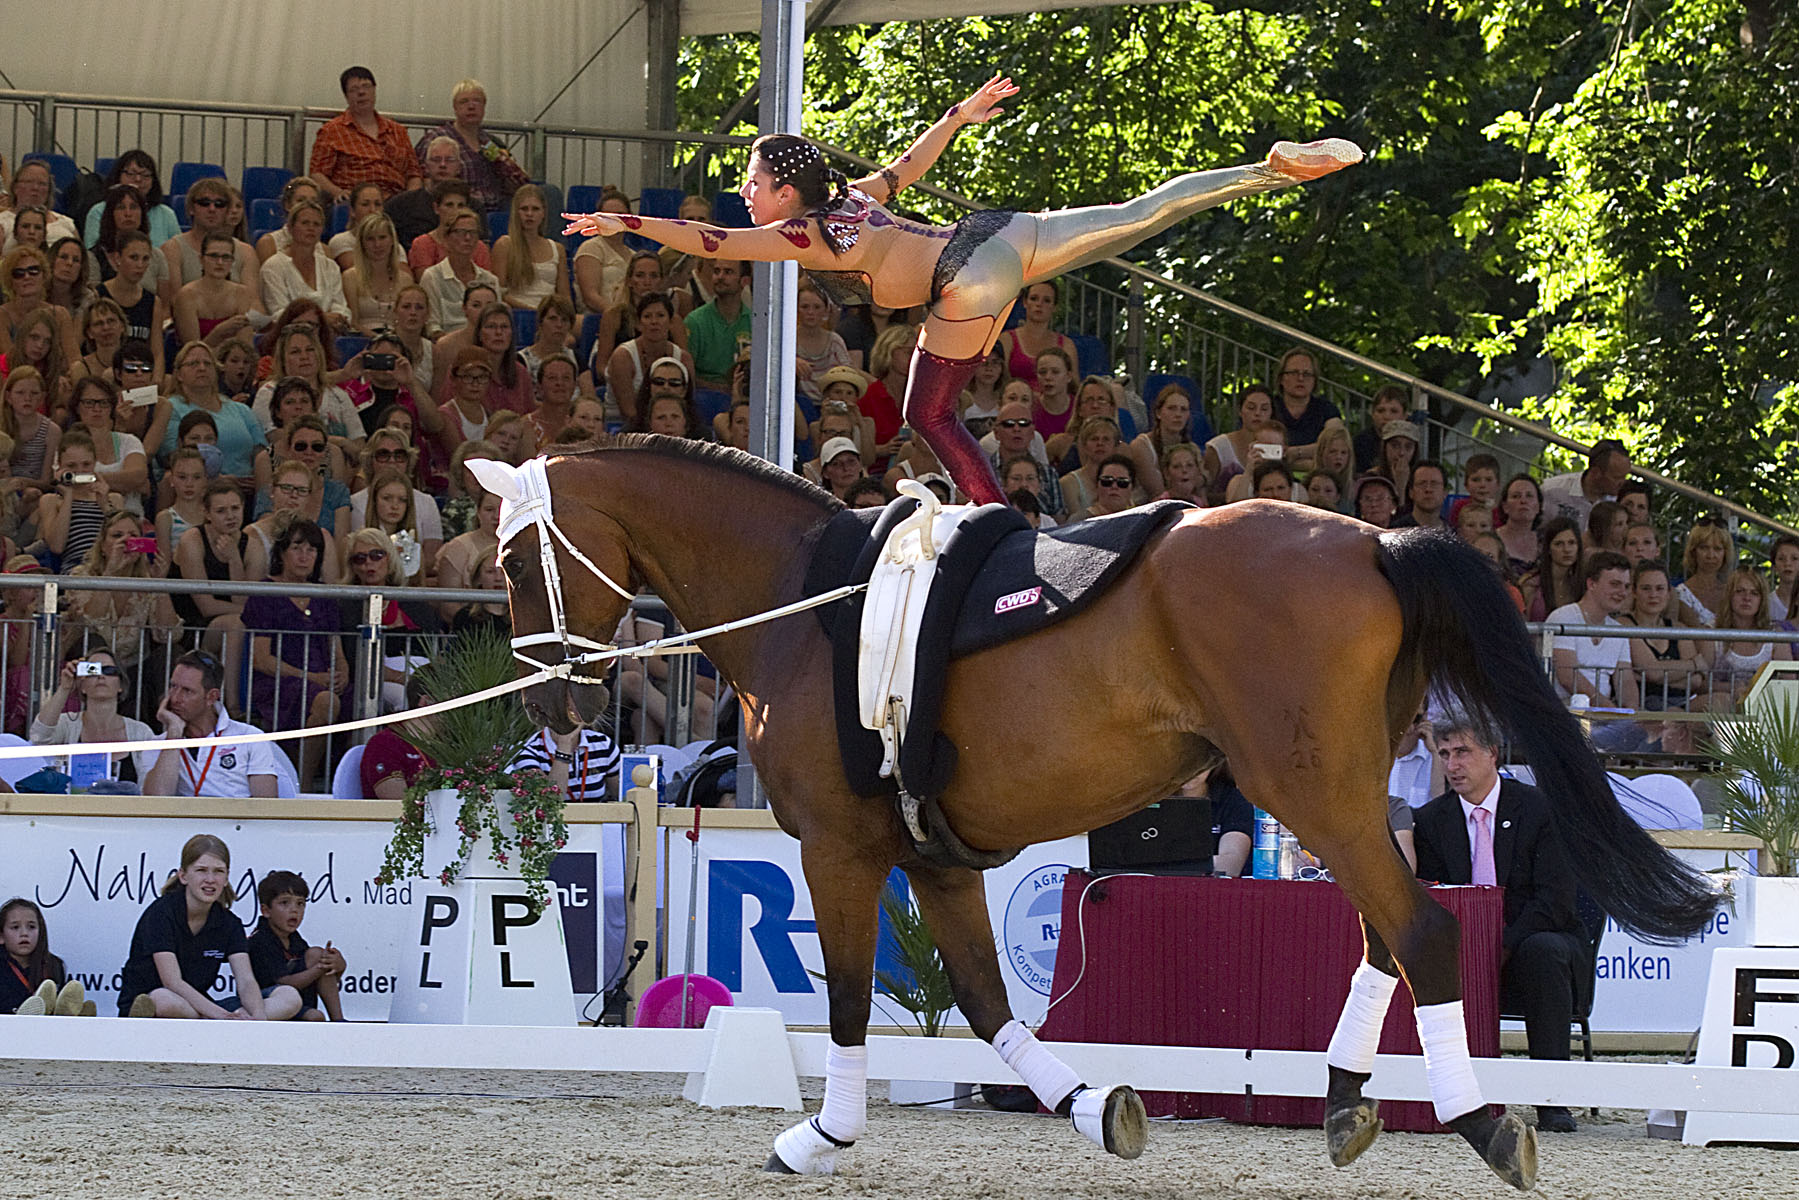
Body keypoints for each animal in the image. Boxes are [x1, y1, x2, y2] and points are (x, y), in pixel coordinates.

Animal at [471, 440, 1719, 1194]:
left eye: (514, 558)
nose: (545, 696)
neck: (805, 604)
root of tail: (1370, 538)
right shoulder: (935, 857)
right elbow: (983, 1002)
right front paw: (1092, 1106)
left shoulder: (839, 847)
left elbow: (849, 1000)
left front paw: (821, 1135)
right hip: (1344, 792)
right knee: (1381, 934)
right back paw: (1343, 1103)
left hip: (1307, 788)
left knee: (1419, 929)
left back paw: (1478, 1119)